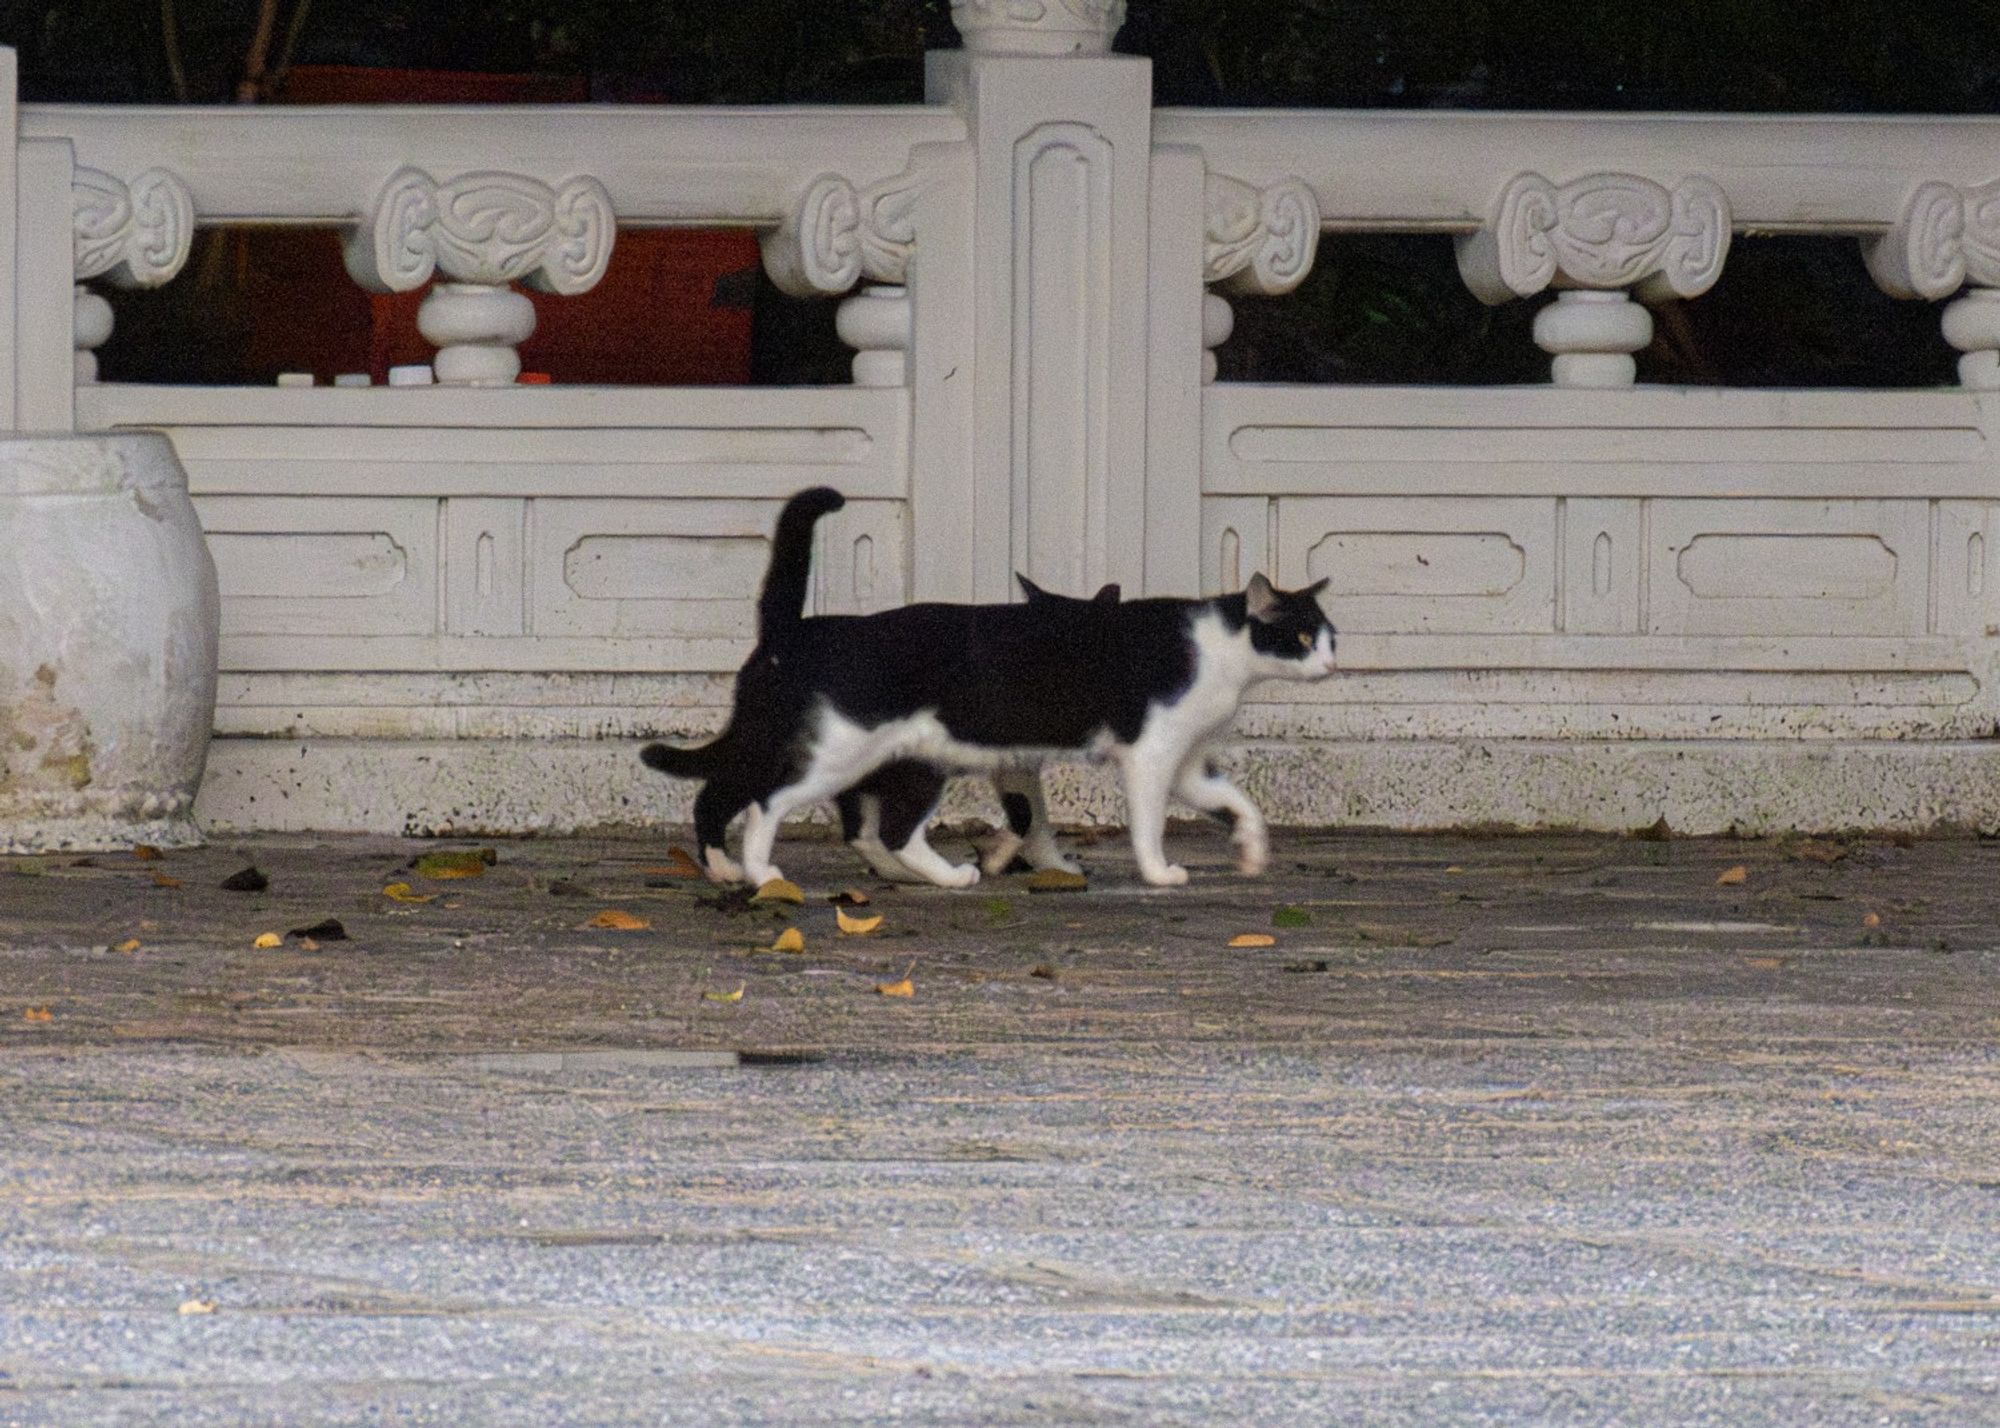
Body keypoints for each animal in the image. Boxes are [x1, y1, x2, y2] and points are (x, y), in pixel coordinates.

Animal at [640, 490, 1328, 888]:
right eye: (1301, 637)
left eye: (1328, 636)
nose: (1330, 663)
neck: (1224, 650)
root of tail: (799, 628)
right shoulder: (1150, 754)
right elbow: (1144, 821)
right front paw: (1157, 872)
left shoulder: (1181, 760)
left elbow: (1235, 802)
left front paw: (1251, 851)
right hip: (836, 752)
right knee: (768, 800)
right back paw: (757, 870)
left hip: (890, 761)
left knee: (873, 828)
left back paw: (931, 876)